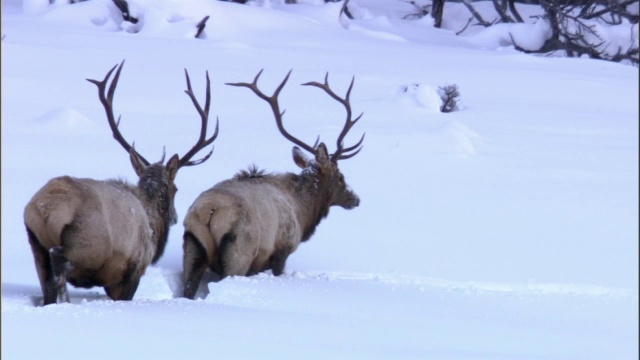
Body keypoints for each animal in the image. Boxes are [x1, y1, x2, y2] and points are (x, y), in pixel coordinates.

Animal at [23, 60, 219, 306]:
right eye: (175, 188)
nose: (175, 217)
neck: (153, 227)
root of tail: (44, 208)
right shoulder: (131, 270)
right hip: (88, 244)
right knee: (59, 260)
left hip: (35, 243)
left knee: (47, 281)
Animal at [182, 69, 362, 298]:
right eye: (340, 176)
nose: (355, 198)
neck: (303, 212)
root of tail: (210, 210)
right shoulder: (282, 249)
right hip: (239, 250)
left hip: (193, 245)